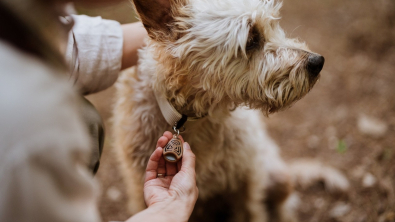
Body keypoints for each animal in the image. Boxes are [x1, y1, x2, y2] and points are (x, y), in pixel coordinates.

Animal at [113, 0, 348, 221]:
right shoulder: (140, 190)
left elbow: (251, 213)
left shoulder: (246, 181)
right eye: (251, 39)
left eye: (273, 25)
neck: (193, 119)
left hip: (278, 177)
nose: (317, 62)